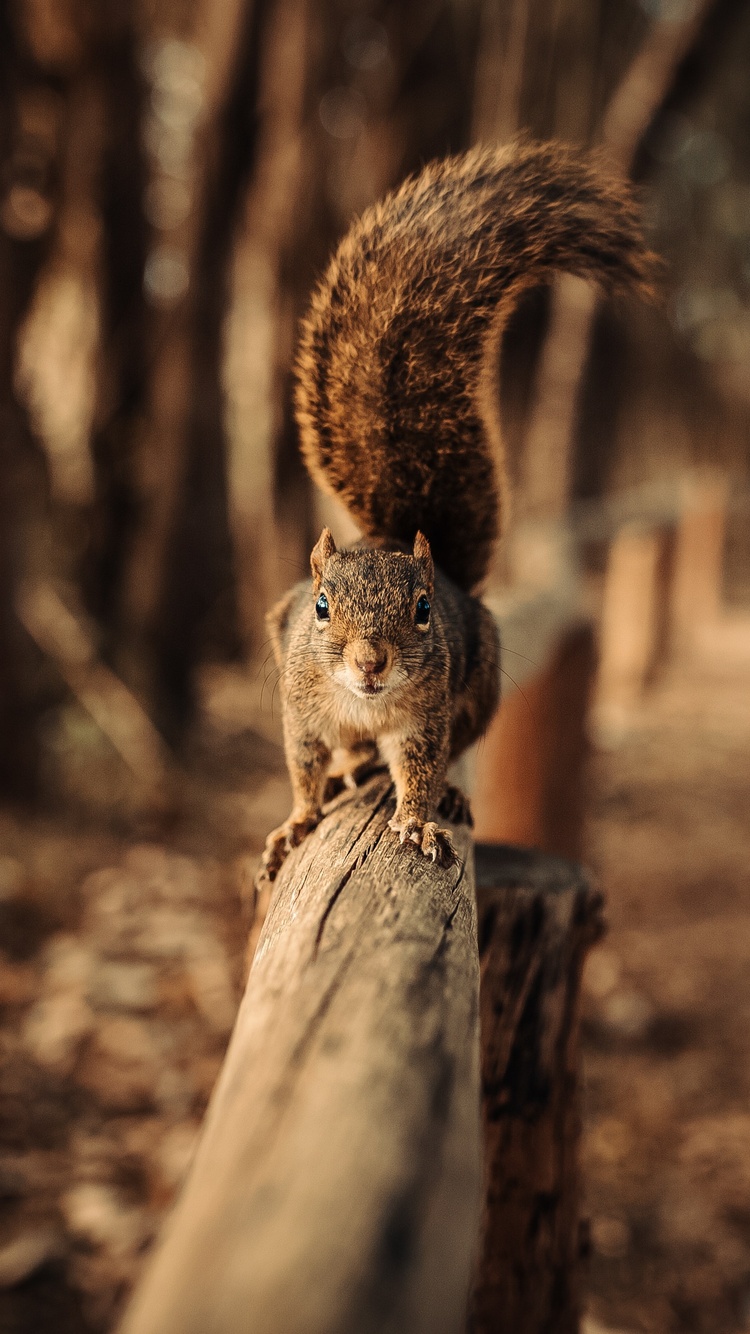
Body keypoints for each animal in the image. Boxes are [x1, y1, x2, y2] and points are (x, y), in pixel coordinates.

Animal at [258, 139, 656, 884]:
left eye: (421, 610)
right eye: (320, 607)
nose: (371, 662)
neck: (364, 705)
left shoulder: (426, 718)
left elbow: (418, 769)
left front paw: (417, 819)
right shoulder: (302, 711)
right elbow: (303, 768)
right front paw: (296, 821)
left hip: (481, 682)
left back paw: (444, 794)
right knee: (346, 758)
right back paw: (349, 771)